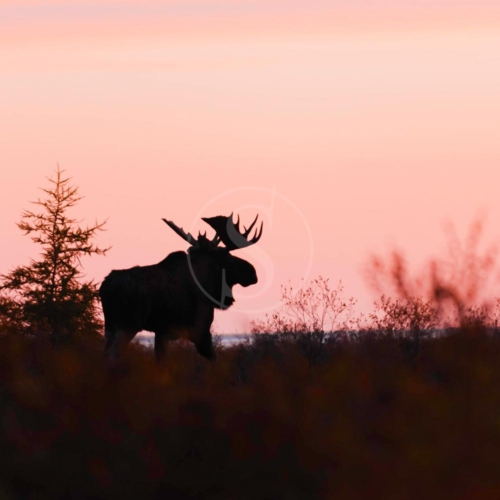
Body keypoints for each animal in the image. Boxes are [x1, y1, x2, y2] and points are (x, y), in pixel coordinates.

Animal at [97, 213, 262, 362]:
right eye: (227, 256)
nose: (253, 272)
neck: (207, 285)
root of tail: (105, 288)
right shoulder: (200, 330)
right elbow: (214, 360)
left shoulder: (161, 333)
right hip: (128, 324)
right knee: (111, 354)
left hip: (110, 325)